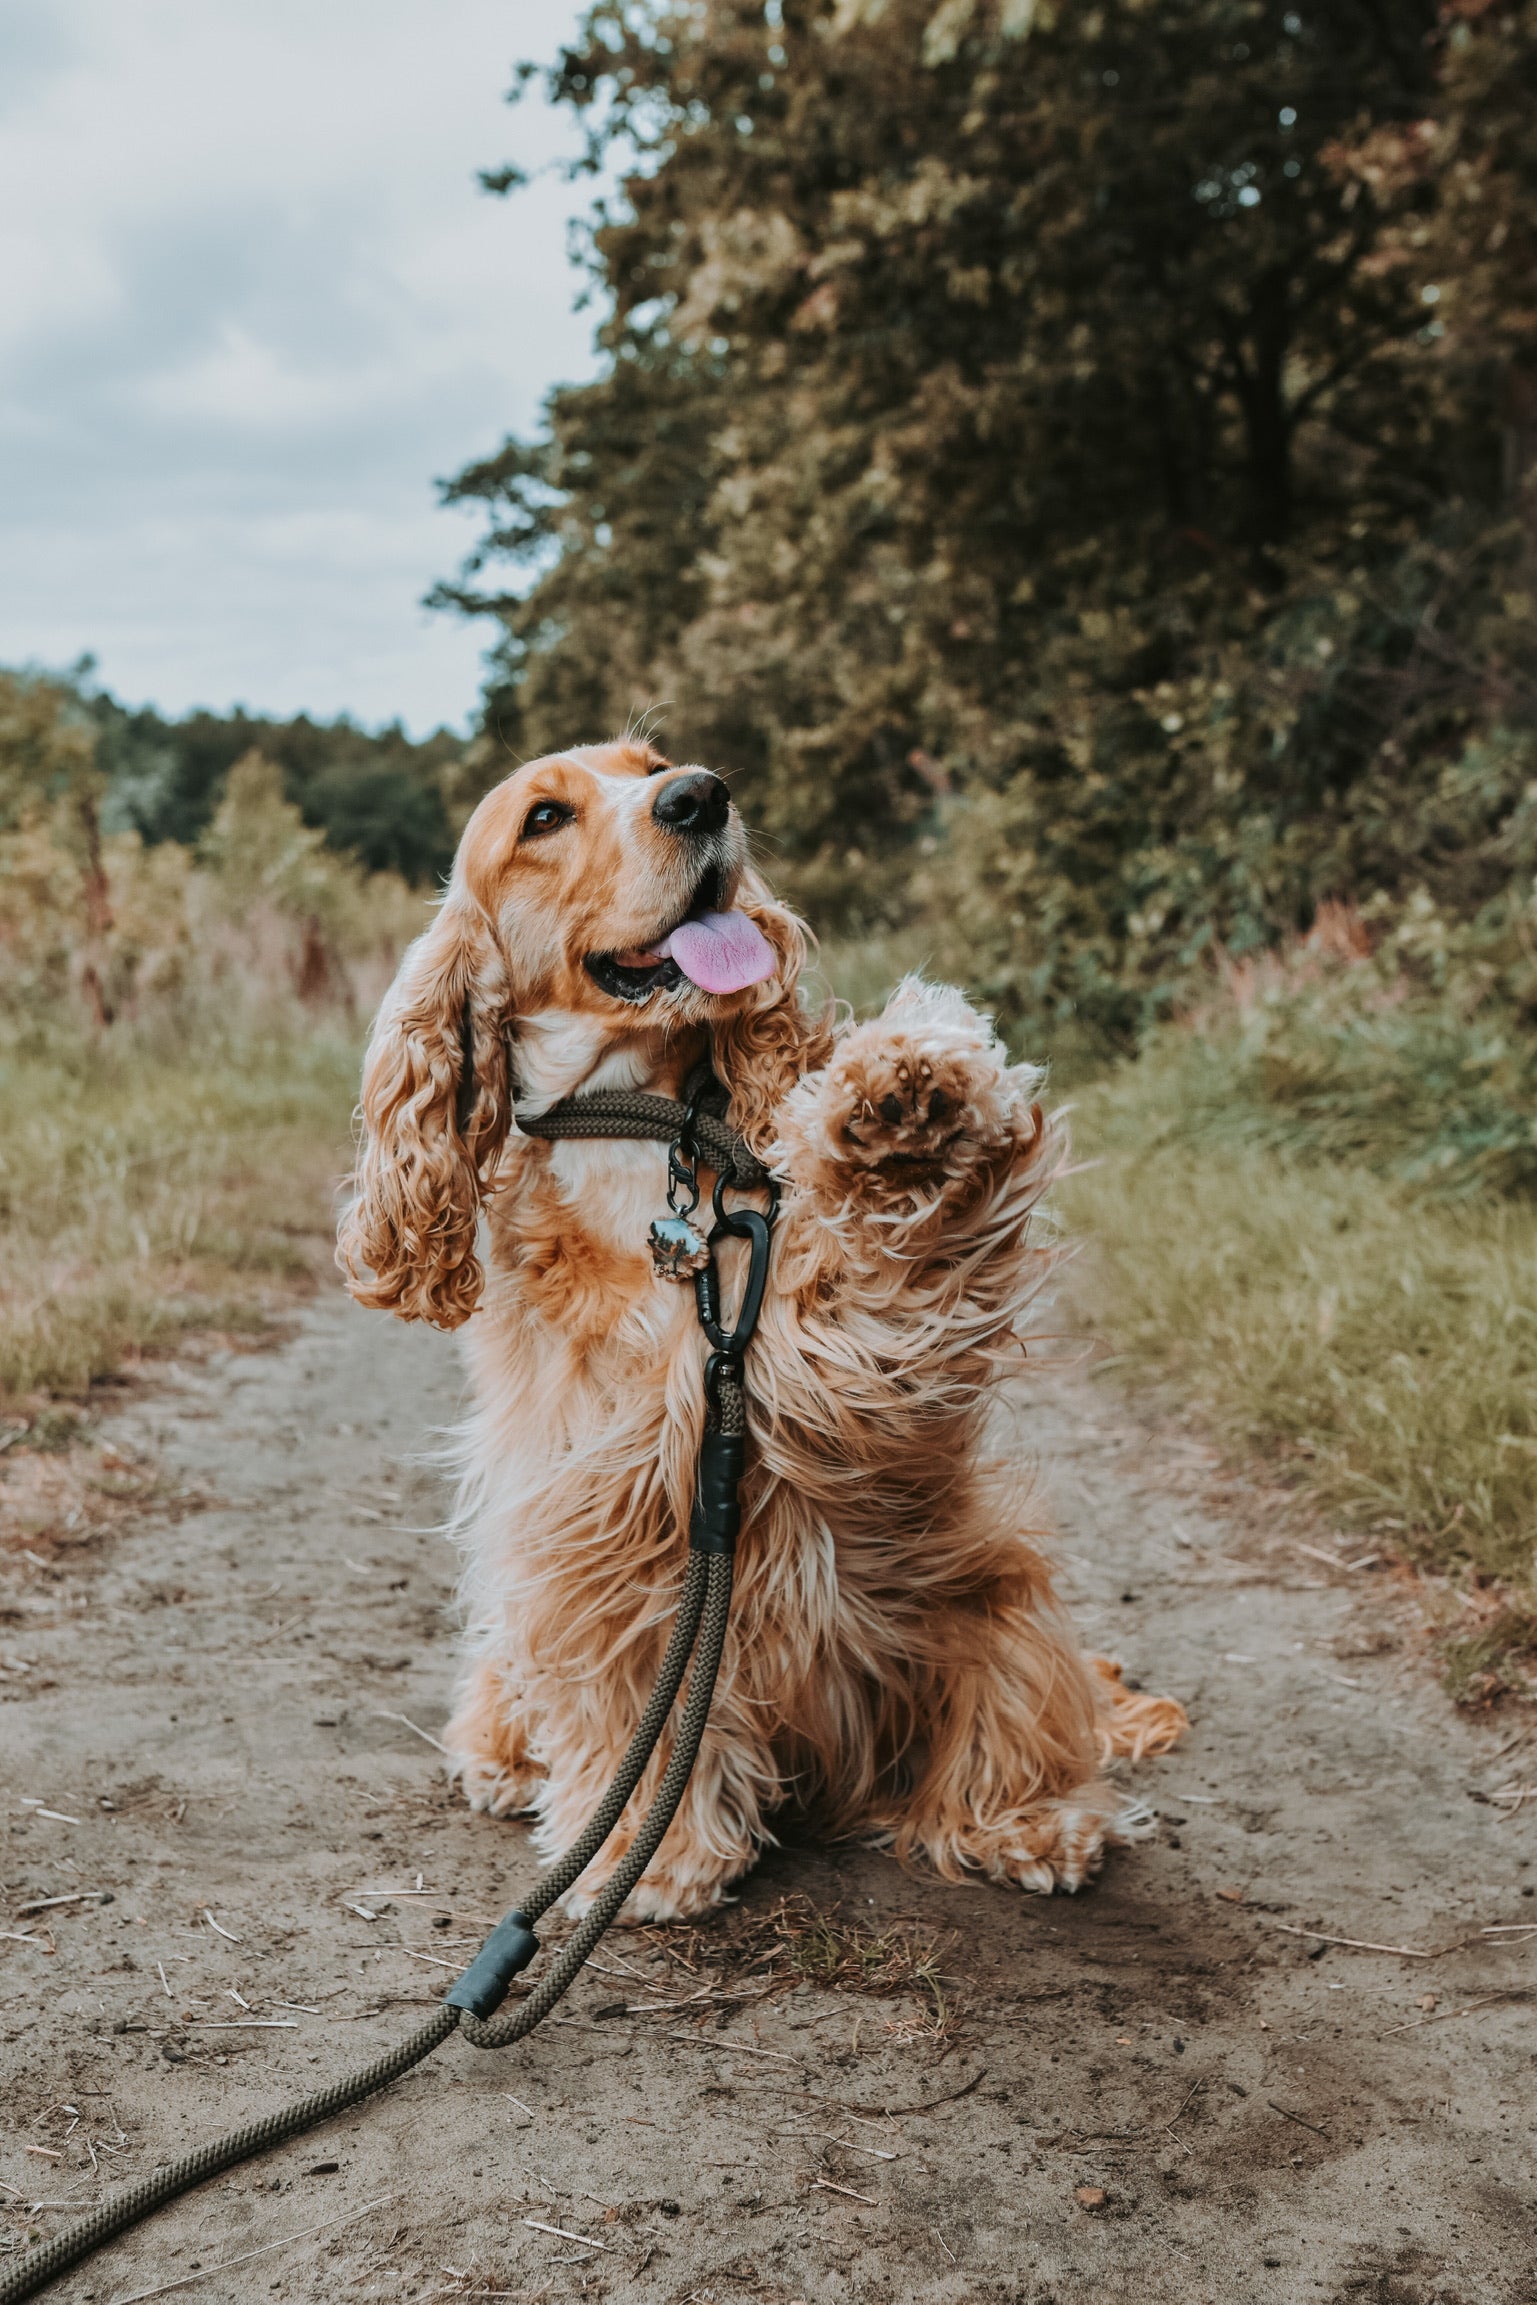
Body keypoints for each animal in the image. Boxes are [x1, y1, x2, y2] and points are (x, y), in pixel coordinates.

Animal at [336, 742, 1189, 1926]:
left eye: (650, 764)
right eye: (544, 817)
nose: (701, 794)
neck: (642, 1135)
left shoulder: (840, 1351)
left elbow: (888, 1247)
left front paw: (910, 1087)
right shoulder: (600, 1509)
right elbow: (628, 1691)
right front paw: (642, 1852)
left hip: (991, 1600)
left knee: (1021, 1724)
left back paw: (1027, 1819)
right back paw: (504, 1756)